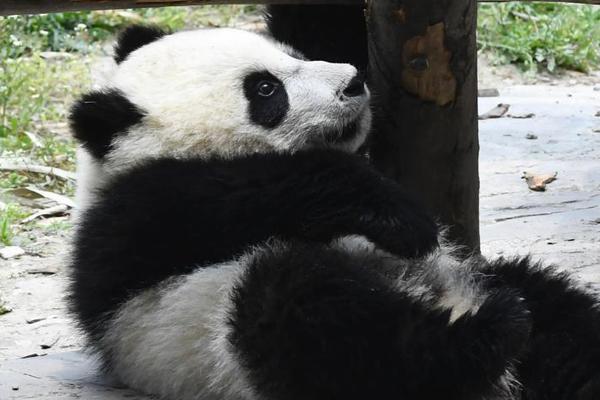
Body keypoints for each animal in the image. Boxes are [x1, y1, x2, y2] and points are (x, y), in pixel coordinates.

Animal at [68, 25, 600, 400]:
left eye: (296, 55)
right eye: (266, 90)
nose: (353, 81)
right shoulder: (132, 222)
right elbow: (242, 192)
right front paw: (404, 221)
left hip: (475, 275)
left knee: (557, 314)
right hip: (207, 323)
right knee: (321, 321)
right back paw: (483, 332)